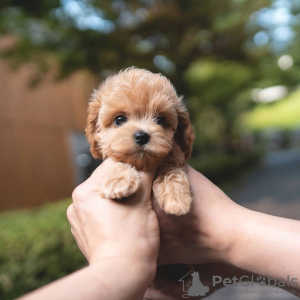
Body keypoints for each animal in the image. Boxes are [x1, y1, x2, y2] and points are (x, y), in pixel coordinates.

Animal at [85, 67, 196, 214]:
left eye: (161, 120)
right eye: (119, 119)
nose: (142, 136)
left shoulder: (174, 158)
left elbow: (172, 170)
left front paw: (175, 197)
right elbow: (120, 163)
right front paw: (119, 180)